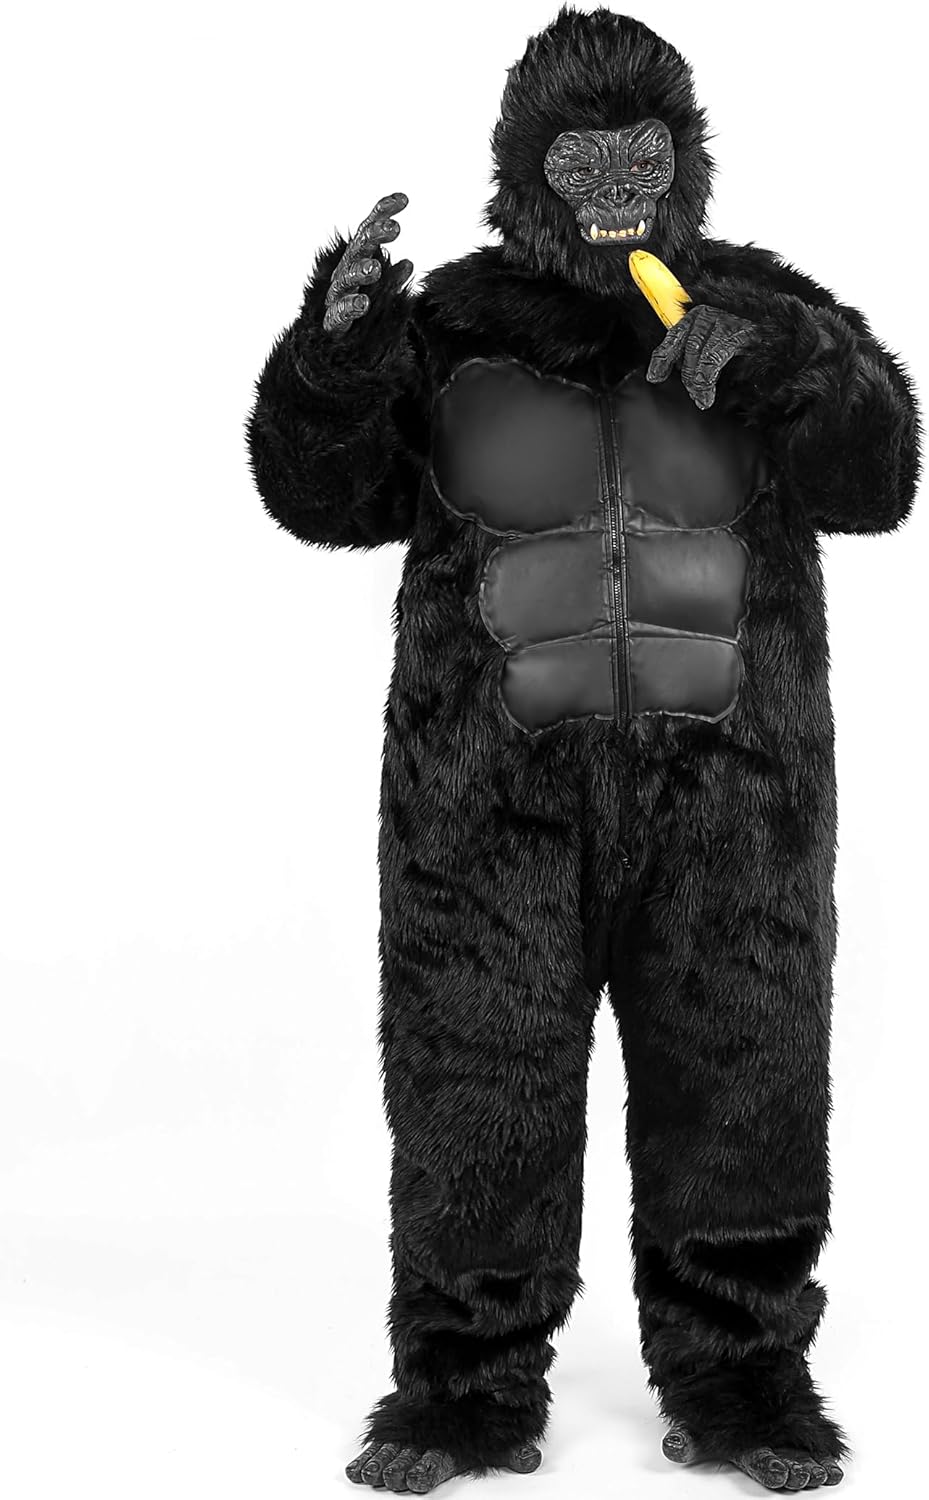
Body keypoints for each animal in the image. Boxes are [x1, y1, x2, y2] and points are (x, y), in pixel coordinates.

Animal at [247, 8, 920, 1492]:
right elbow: (320, 483)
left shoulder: (807, 297)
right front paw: (346, 312)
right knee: (479, 1079)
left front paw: (752, 350)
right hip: (473, 861)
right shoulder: (424, 369)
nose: (617, 187)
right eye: (579, 154)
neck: (610, 315)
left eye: (640, 149)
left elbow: (875, 454)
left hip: (739, 859)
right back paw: (450, 1405)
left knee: (736, 1063)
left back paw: (749, 1397)